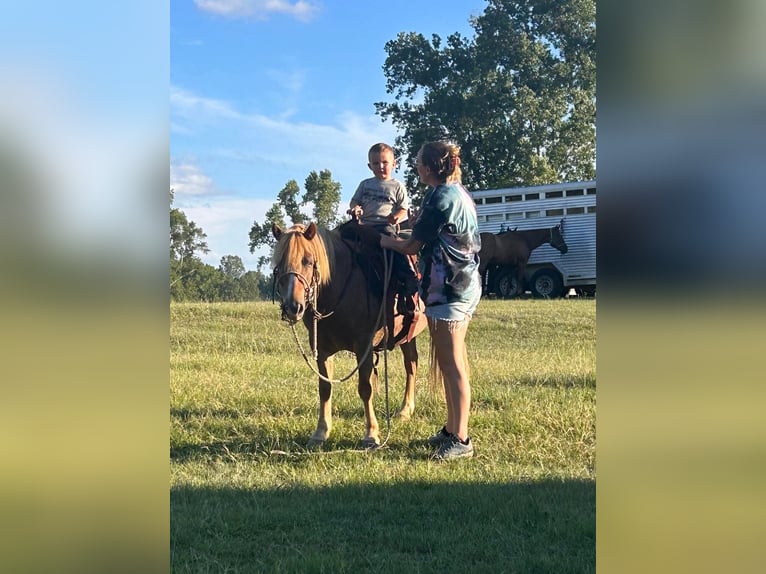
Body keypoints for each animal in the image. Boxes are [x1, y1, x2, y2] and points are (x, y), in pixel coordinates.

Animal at [272, 223, 428, 448]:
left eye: (308, 260)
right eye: (279, 263)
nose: (293, 307)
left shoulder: (364, 346)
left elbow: (365, 388)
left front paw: (371, 433)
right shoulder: (321, 349)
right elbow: (325, 387)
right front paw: (321, 432)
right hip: (408, 335)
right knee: (412, 364)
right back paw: (406, 410)